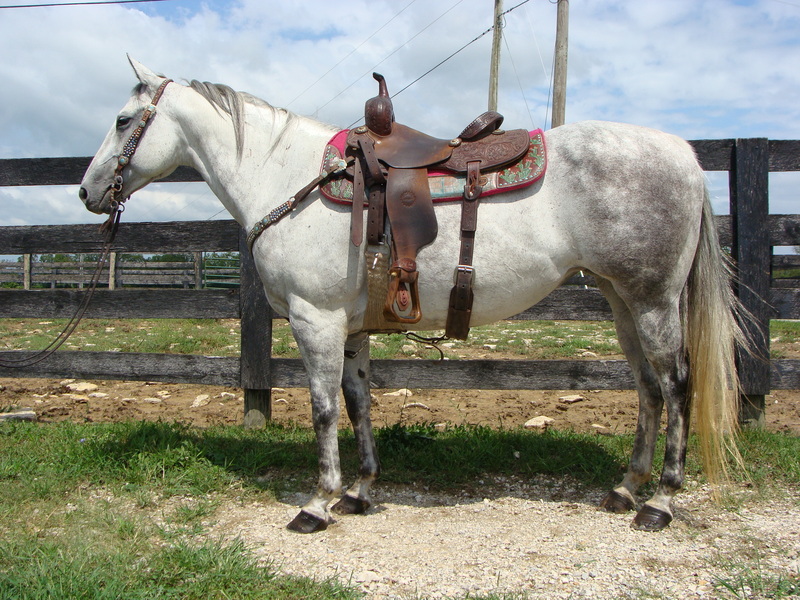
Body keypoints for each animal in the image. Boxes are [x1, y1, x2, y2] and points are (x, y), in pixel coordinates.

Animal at [79, 57, 746, 533]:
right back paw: (626, 487)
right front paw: (360, 490)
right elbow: (357, 404)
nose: (88, 192)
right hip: (621, 302)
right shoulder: (350, 329)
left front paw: (318, 502)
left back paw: (660, 501)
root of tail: (685, 156)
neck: (292, 177)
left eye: (121, 121)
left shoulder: (315, 321)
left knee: (677, 385)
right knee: (648, 388)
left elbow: (322, 409)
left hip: (653, 301)